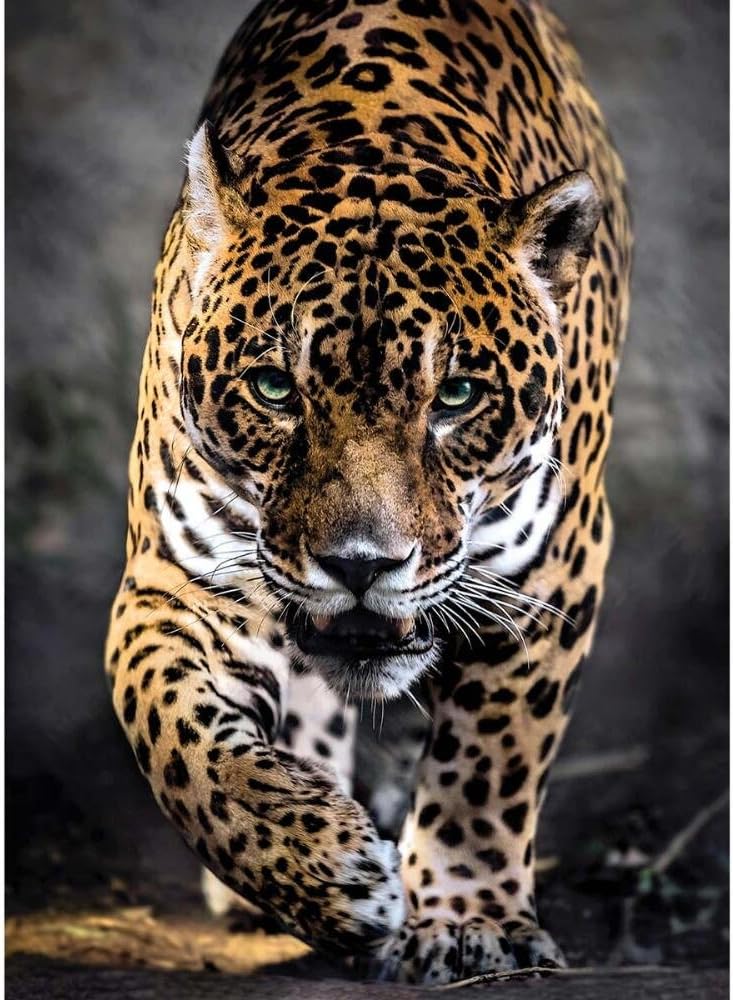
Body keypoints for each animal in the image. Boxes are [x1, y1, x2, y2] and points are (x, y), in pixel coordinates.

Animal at [105, 0, 631, 985]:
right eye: (275, 388)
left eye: (455, 396)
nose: (360, 565)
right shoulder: (176, 578)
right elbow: (173, 734)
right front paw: (320, 869)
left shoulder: (549, 573)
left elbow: (488, 764)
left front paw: (467, 922)